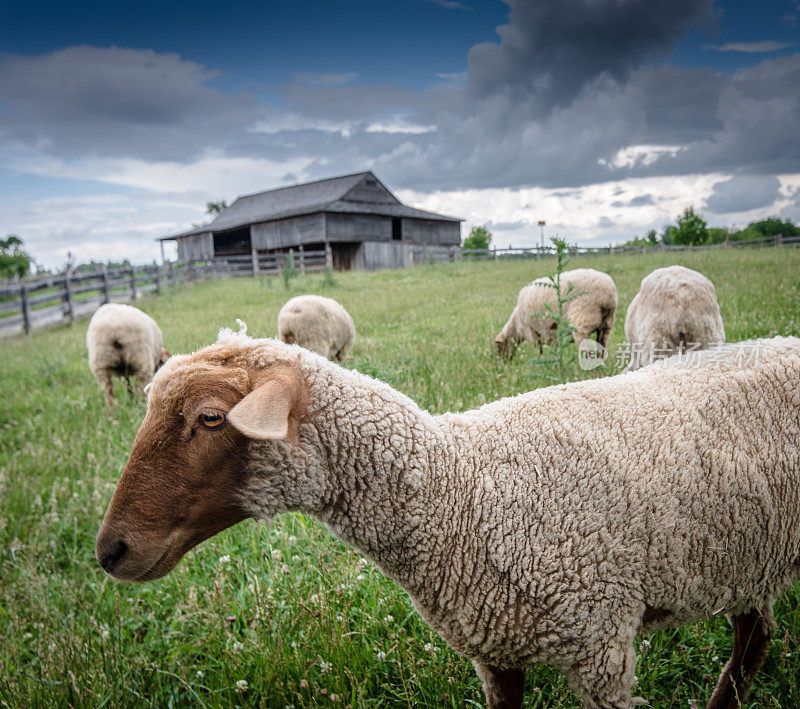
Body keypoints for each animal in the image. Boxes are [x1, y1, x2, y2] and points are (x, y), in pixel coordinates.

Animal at [95, 334, 800, 708]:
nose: (110, 551)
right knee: (755, 635)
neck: (459, 491)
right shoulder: (495, 652)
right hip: (744, 551)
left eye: (211, 418)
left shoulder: (602, 648)